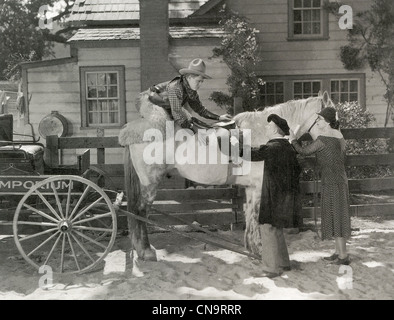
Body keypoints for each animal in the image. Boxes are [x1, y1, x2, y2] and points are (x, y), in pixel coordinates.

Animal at [118, 90, 330, 260]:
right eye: (331, 118)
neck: (261, 133)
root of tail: (133, 130)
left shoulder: (252, 187)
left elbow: (249, 216)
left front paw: (252, 249)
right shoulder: (259, 186)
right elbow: (255, 216)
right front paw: (260, 250)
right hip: (150, 183)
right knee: (139, 211)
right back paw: (146, 251)